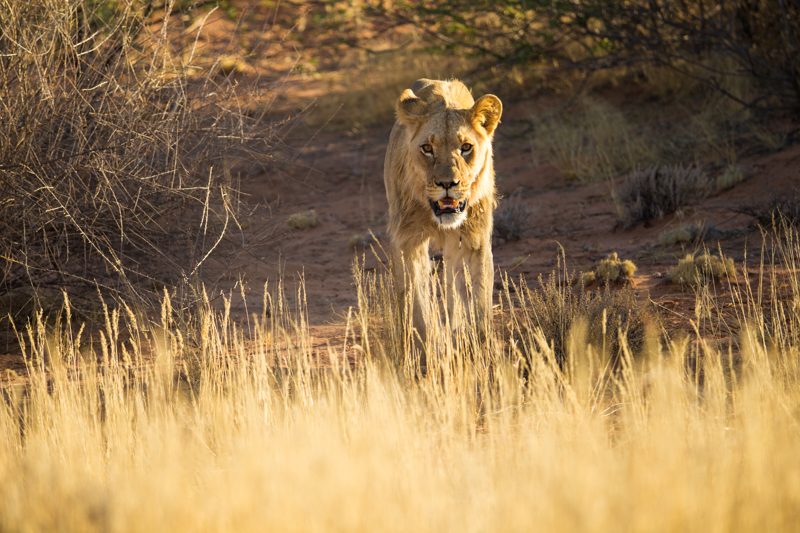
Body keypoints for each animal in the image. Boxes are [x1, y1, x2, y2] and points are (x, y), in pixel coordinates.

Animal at [382, 77, 500, 342]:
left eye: (466, 147)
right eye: (427, 148)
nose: (448, 184)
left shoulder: (477, 238)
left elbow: (480, 300)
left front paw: (482, 345)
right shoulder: (408, 239)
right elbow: (416, 305)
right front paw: (424, 346)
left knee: (453, 280)